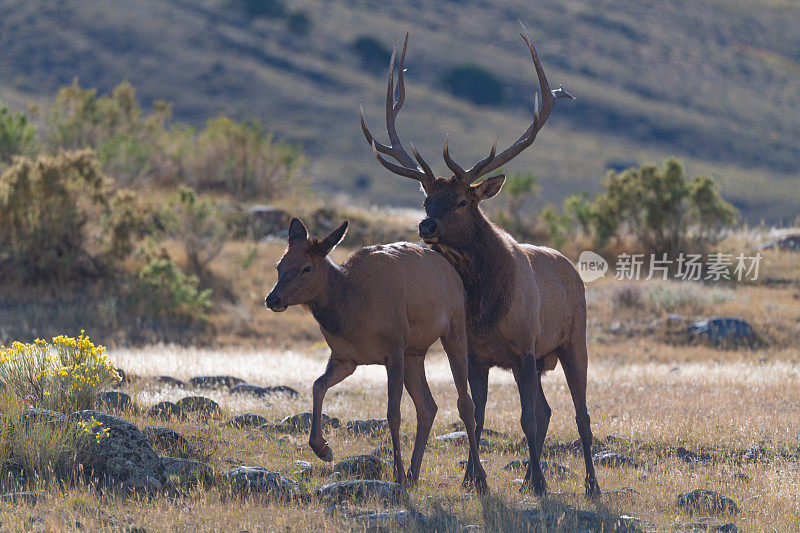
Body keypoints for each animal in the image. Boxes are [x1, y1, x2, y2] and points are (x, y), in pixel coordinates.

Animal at [266, 217, 488, 490]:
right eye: (279, 265)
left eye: (306, 268)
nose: (272, 299)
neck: (349, 310)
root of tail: (455, 274)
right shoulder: (345, 358)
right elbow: (318, 385)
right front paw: (322, 449)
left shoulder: (393, 350)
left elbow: (393, 413)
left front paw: (397, 473)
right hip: (414, 353)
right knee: (428, 406)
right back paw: (414, 474)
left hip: (454, 329)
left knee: (465, 403)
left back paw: (478, 478)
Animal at [360, 22, 596, 496]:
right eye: (427, 198)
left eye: (463, 200)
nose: (426, 226)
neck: (486, 306)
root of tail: (572, 270)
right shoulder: (477, 355)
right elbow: (477, 413)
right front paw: (472, 478)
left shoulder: (525, 347)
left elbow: (525, 418)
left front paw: (541, 485)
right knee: (548, 410)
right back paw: (529, 479)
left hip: (571, 340)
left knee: (580, 413)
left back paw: (589, 485)